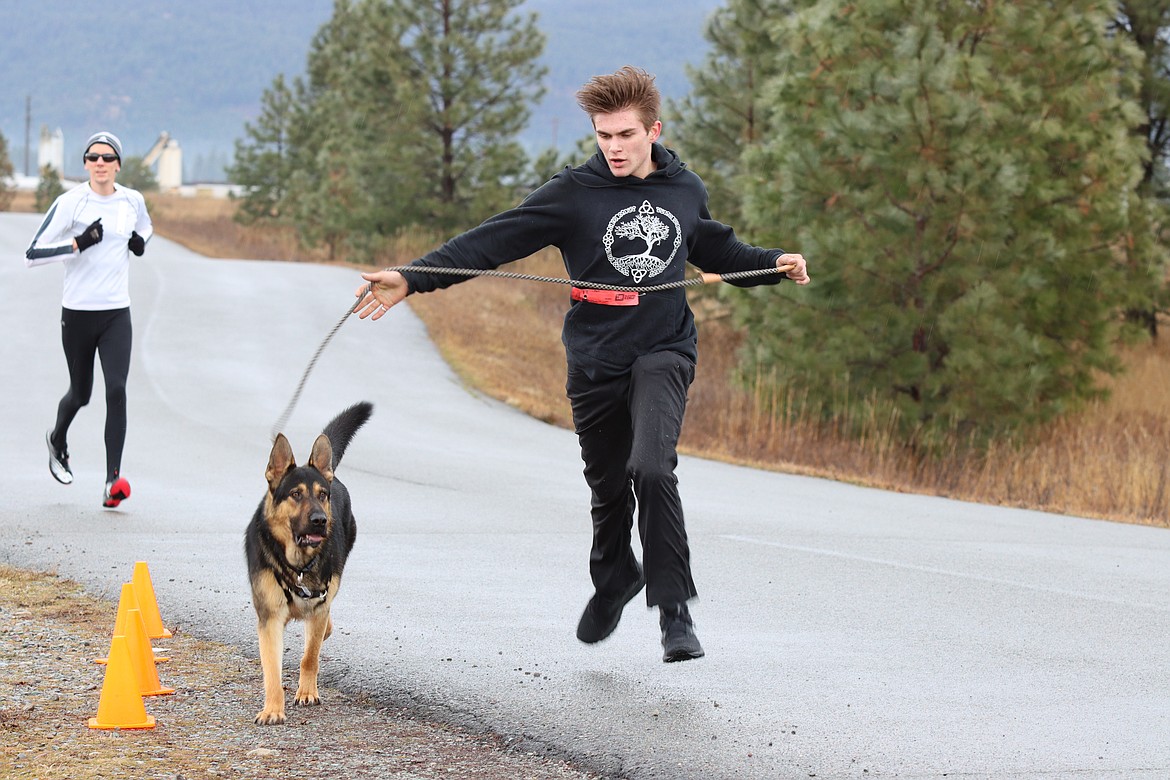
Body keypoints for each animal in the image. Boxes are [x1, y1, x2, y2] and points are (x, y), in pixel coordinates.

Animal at [244, 402, 372, 725]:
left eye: (322, 495)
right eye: (295, 494)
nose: (320, 521)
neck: (296, 565)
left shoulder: (318, 608)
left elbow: (310, 656)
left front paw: (306, 692)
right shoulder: (269, 620)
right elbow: (271, 670)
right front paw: (272, 708)